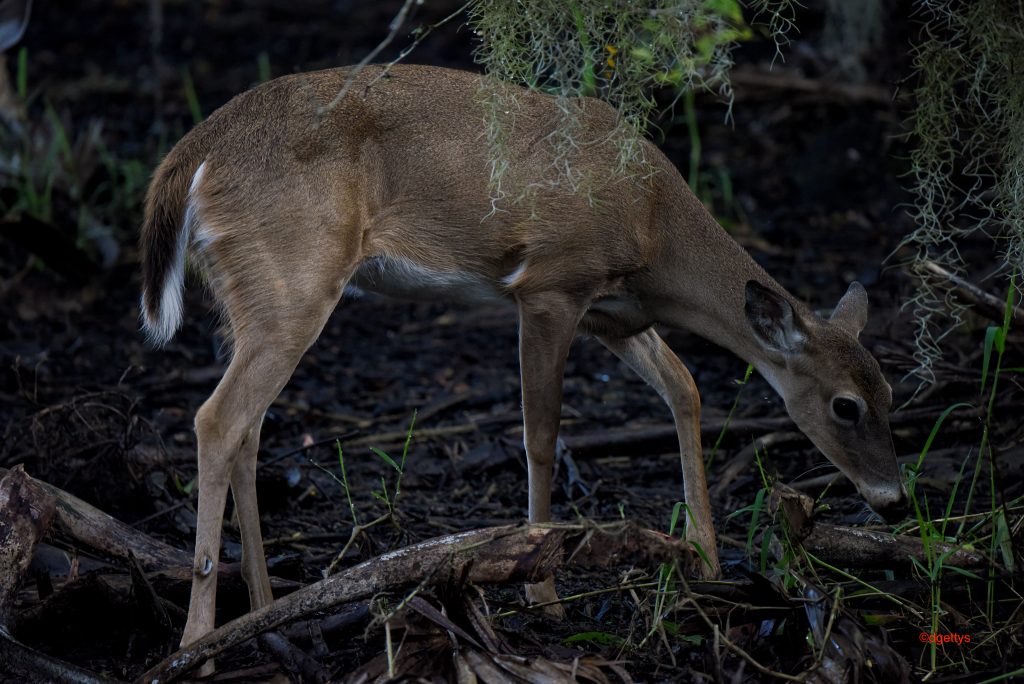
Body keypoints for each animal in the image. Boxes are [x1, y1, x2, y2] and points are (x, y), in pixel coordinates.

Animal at [139, 64, 908, 665]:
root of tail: (190, 155)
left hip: (250, 294)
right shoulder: (550, 287)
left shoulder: (613, 314)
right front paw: (543, 589)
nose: (895, 498)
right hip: (293, 278)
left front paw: (708, 558)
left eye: (892, 392)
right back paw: (198, 641)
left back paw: (266, 609)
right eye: (845, 405)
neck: (654, 226)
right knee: (218, 419)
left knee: (249, 427)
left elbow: (684, 387)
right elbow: (541, 435)